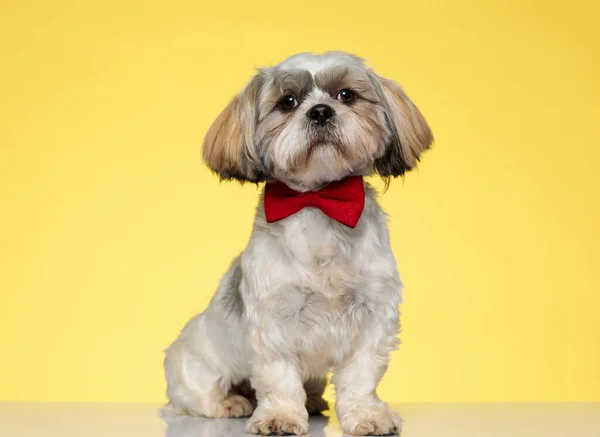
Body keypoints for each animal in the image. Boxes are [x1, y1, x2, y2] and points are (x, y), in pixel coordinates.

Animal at [164, 50, 432, 432]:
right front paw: (279, 417)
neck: (318, 202)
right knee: (200, 398)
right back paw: (232, 402)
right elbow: (279, 377)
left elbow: (361, 377)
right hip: (195, 366)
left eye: (346, 95)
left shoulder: (373, 316)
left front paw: (367, 416)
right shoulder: (274, 318)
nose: (320, 111)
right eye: (288, 102)